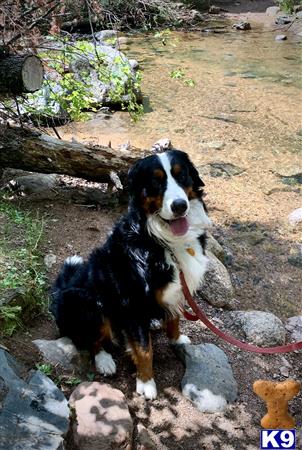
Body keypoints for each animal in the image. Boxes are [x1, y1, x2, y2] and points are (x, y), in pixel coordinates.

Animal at [50, 150, 210, 400]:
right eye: (155, 181)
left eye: (181, 175)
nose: (179, 206)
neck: (162, 241)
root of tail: (61, 291)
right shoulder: (133, 303)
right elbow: (144, 350)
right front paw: (146, 382)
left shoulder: (177, 291)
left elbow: (174, 318)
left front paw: (176, 339)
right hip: (84, 300)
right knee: (90, 339)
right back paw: (105, 360)